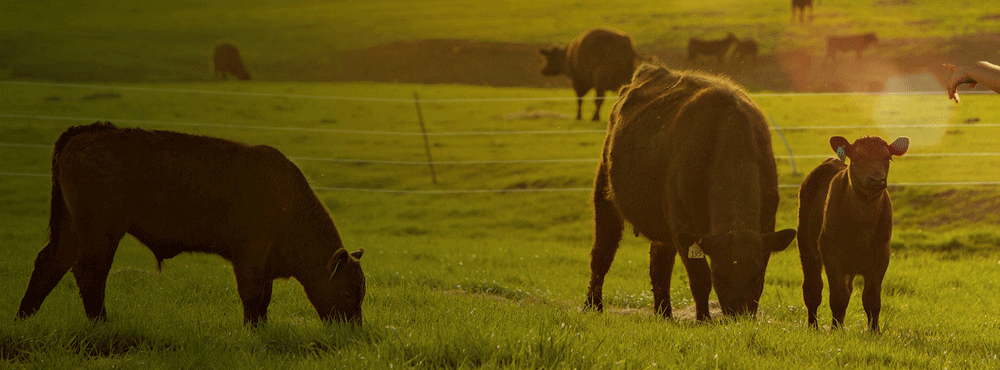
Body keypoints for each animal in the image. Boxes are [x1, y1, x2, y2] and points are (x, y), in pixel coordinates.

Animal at [15, 123, 366, 326]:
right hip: (101, 233)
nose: (351, 331)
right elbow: (253, 297)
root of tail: (85, 133)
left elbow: (264, 299)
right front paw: (253, 331)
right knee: (89, 273)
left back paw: (24, 317)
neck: (287, 199)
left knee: (50, 263)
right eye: (349, 292)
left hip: (72, 230)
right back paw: (101, 324)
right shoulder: (249, 259)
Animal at [584, 64, 796, 320]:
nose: (740, 317)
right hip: (605, 194)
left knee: (659, 266)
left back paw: (664, 313)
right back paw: (593, 305)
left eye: (756, 277)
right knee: (602, 254)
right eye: (719, 277)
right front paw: (704, 319)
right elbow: (699, 278)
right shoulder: (683, 228)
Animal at [796, 134, 916, 330]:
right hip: (806, 245)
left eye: (887, 158)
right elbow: (838, 296)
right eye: (857, 158)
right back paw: (813, 327)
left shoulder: (881, 255)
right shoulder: (830, 252)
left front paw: (874, 331)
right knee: (813, 288)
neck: (862, 224)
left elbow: (871, 298)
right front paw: (836, 331)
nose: (877, 179)